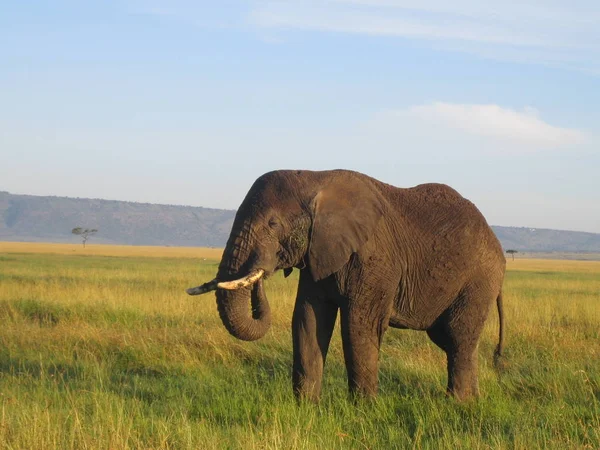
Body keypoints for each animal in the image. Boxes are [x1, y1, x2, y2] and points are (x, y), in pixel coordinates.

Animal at [185, 169, 504, 400]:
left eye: (273, 224)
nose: (261, 271)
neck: (315, 178)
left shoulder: (374, 258)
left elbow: (359, 325)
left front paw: (364, 410)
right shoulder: (318, 252)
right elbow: (308, 319)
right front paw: (306, 408)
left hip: (479, 279)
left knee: (458, 336)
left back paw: (458, 403)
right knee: (452, 340)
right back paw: (471, 400)